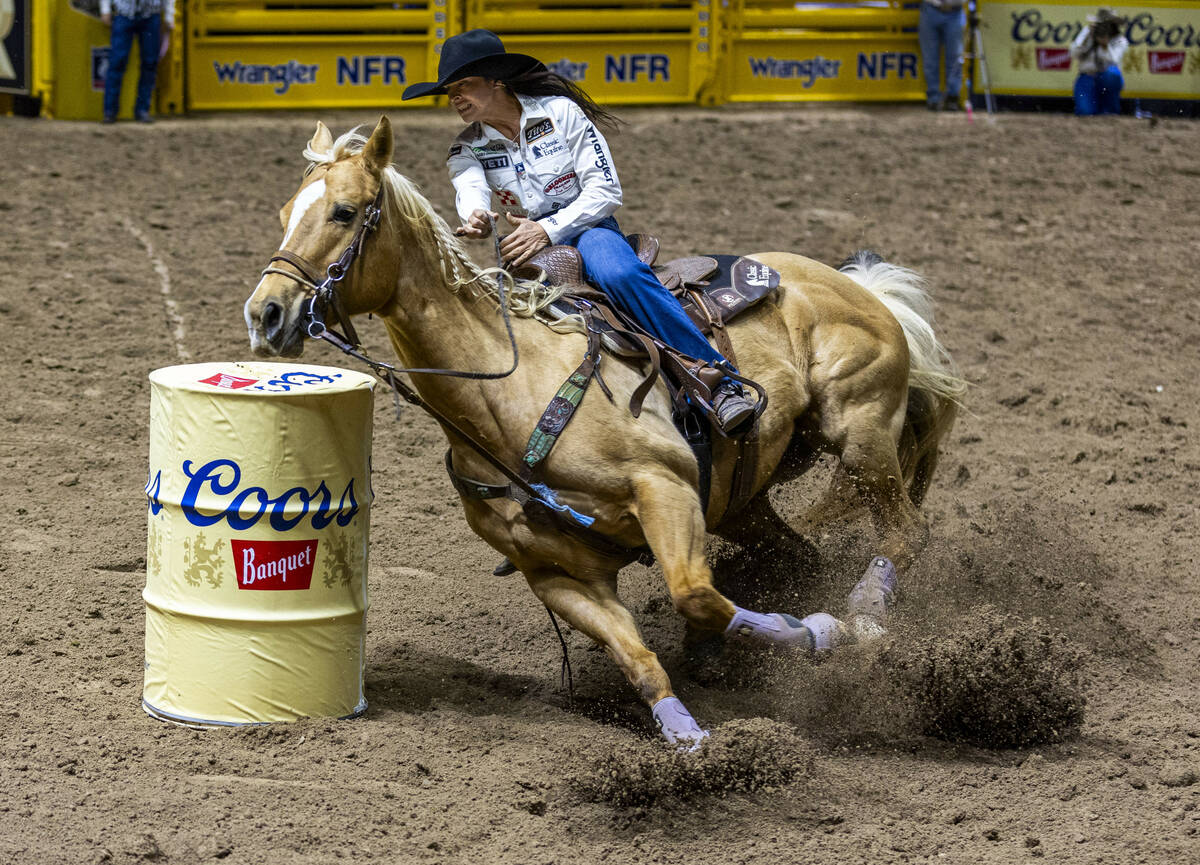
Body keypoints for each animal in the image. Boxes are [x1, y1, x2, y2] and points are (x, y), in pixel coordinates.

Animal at [243, 118, 964, 743]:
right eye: (283, 213)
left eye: (344, 211)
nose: (265, 313)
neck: (512, 394)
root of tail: (855, 282)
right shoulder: (557, 573)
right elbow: (640, 659)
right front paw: (689, 742)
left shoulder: (663, 490)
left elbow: (697, 595)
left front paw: (822, 632)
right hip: (743, 501)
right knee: (798, 553)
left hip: (860, 433)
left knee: (906, 531)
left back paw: (862, 615)